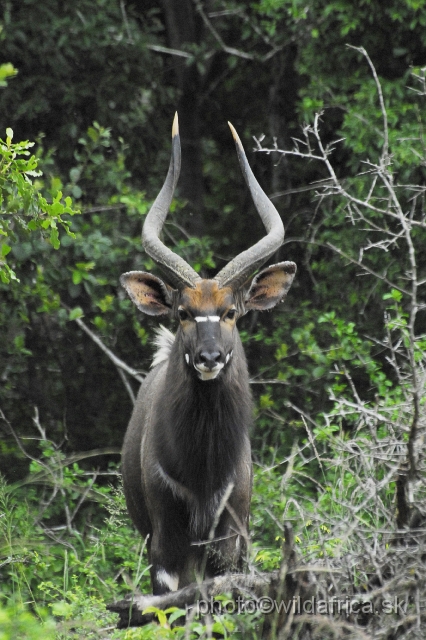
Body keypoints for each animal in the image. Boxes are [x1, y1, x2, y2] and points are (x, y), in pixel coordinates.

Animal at [118, 114, 294, 596]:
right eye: (183, 312)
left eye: (231, 312)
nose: (209, 358)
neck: (203, 470)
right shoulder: (165, 538)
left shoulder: (230, 536)